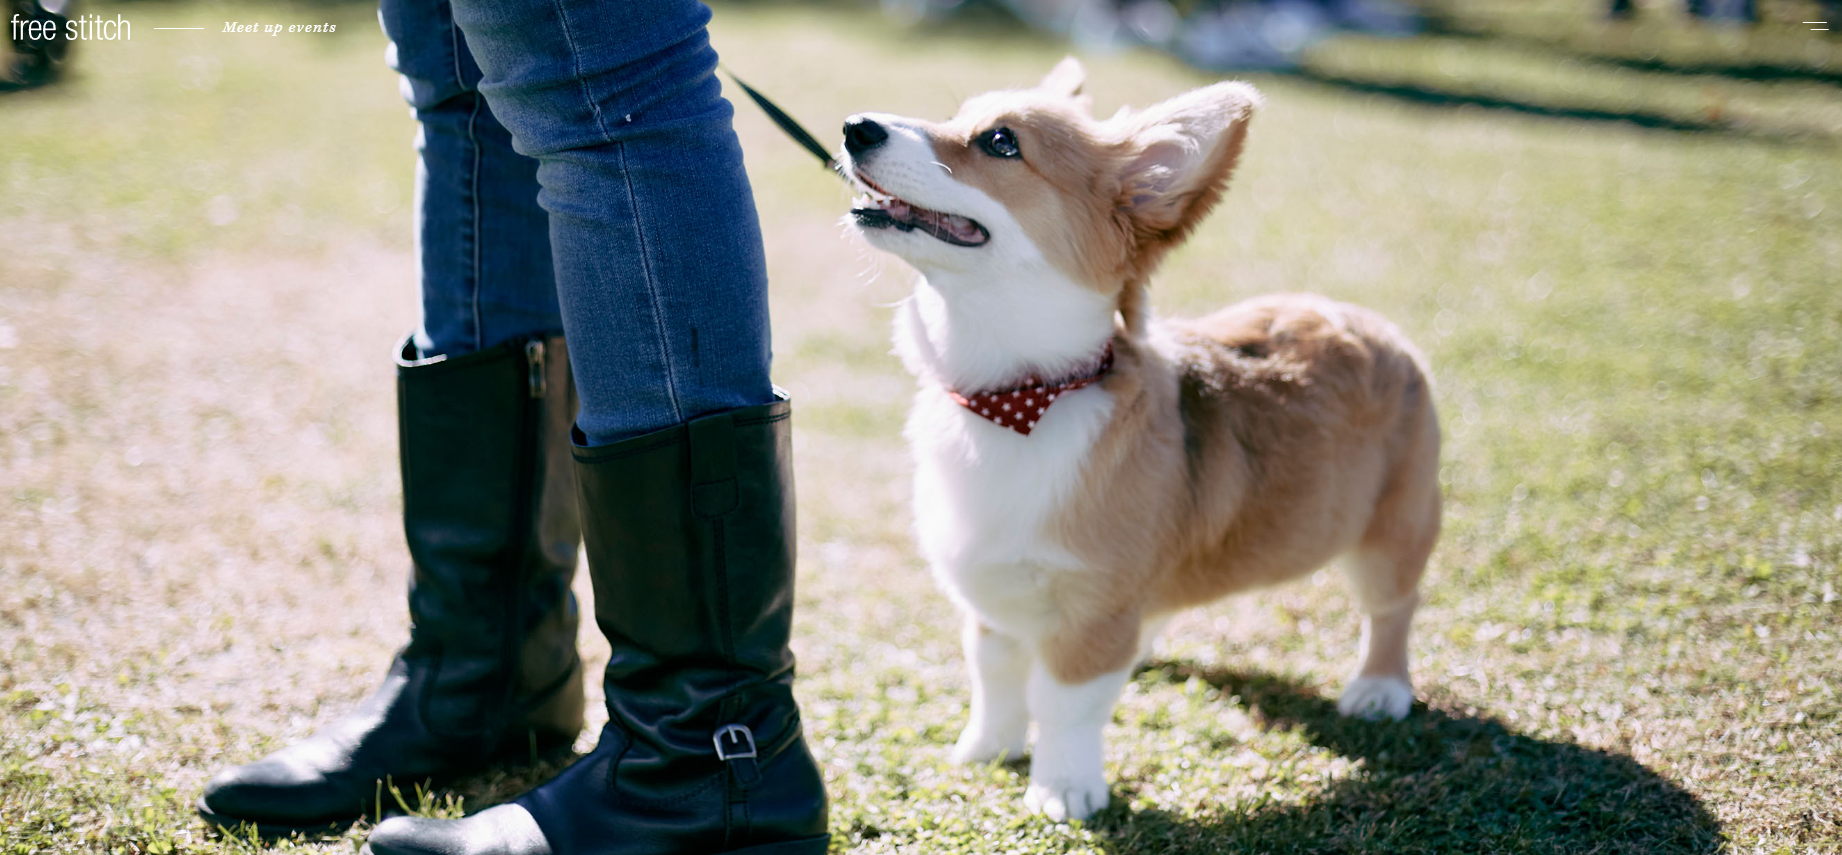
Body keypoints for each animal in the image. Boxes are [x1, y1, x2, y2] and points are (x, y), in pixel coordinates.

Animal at [843, 59, 1444, 821]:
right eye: (958, 116)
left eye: (1001, 142)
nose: (854, 126)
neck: (1015, 397)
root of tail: (1371, 323)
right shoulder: (994, 594)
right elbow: (997, 676)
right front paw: (987, 750)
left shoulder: (1094, 609)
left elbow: (1065, 704)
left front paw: (1063, 787)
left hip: (1390, 531)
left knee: (1393, 605)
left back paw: (1379, 686)